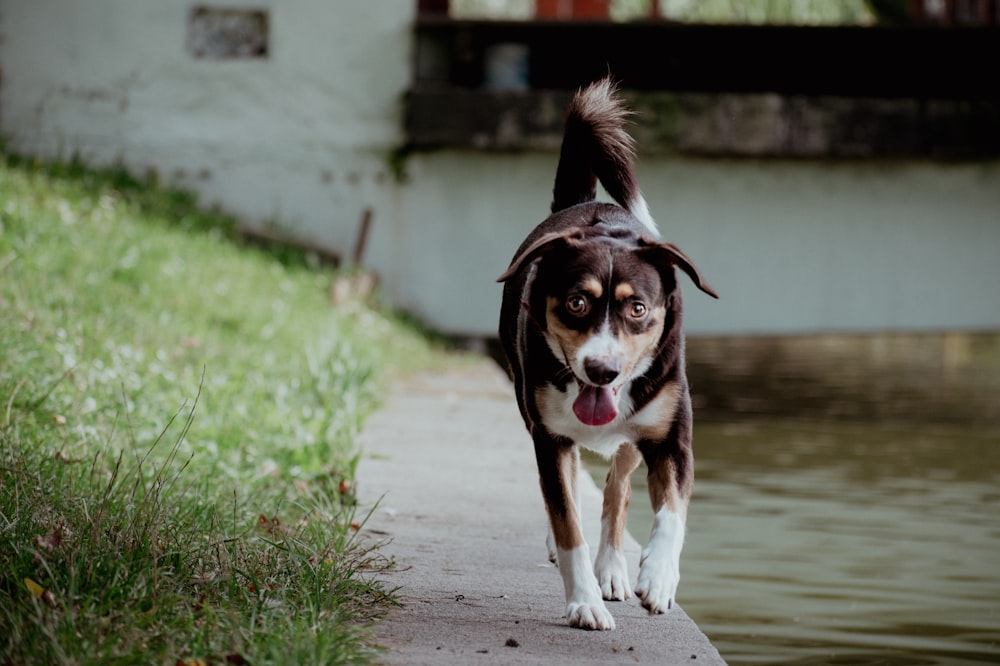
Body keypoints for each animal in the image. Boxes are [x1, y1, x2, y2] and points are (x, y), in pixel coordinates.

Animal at [496, 78, 716, 628]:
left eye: (637, 308)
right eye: (577, 303)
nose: (601, 369)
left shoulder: (672, 438)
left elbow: (672, 514)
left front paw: (657, 577)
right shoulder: (549, 436)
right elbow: (567, 519)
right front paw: (584, 603)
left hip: (639, 429)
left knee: (618, 487)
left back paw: (615, 569)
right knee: (572, 490)